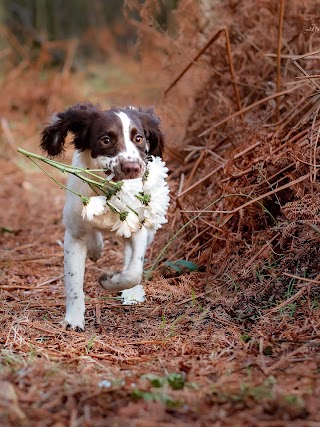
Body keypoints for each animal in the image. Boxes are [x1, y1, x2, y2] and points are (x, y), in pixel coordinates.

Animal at [40, 103, 165, 332]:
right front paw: (73, 319)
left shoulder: (137, 227)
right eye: (106, 140)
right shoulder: (74, 235)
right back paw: (96, 248)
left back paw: (131, 293)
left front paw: (109, 280)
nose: (132, 168)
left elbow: (134, 271)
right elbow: (74, 283)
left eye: (139, 138)